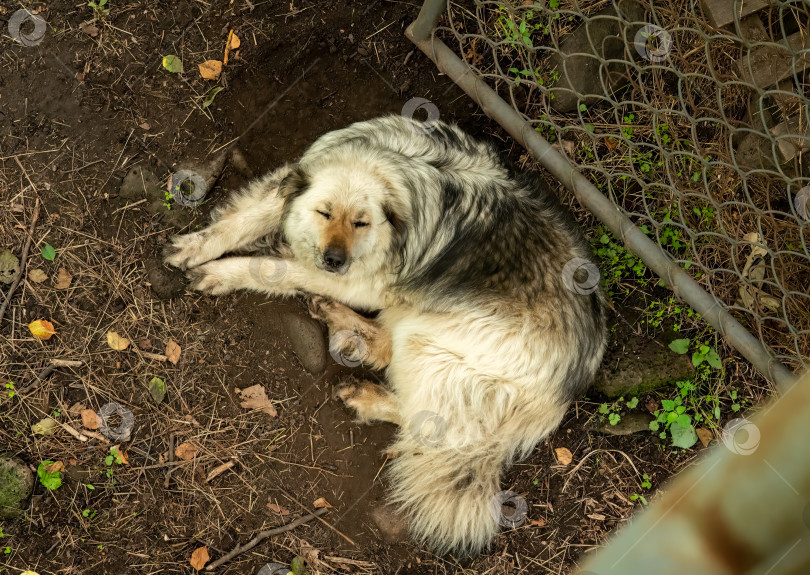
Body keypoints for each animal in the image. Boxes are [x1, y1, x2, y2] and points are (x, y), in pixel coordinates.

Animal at [163, 116, 608, 560]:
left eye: (362, 222)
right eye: (324, 212)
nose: (334, 260)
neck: (393, 170)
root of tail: (565, 394)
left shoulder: (361, 282)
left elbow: (272, 269)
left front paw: (222, 273)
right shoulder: (294, 184)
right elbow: (242, 221)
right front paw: (195, 247)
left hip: (432, 342)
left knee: (420, 417)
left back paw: (365, 395)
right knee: (385, 351)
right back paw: (340, 320)